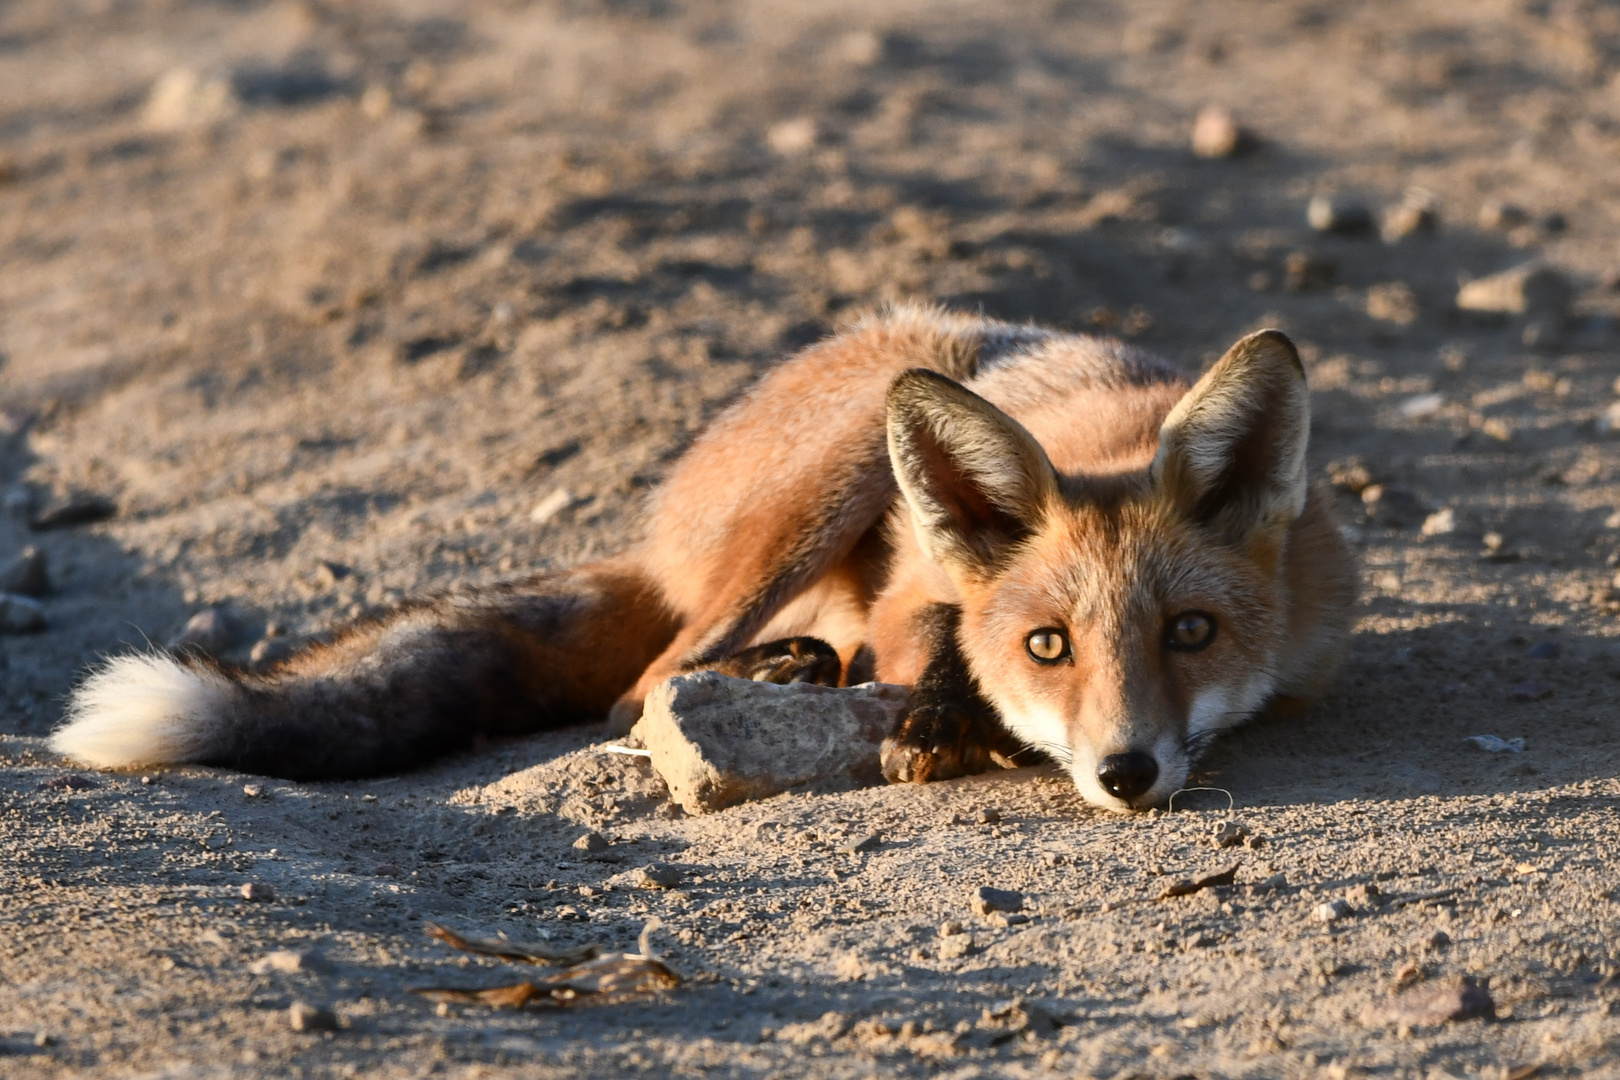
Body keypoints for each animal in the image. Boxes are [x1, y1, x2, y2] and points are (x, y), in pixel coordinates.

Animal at [47, 304, 1354, 809]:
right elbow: (925, 646)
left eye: (1191, 634)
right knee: (643, 681)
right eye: (1048, 644)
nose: (1127, 773)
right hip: (837, 468)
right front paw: (937, 716)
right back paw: (776, 676)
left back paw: (799, 671)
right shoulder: (914, 588)